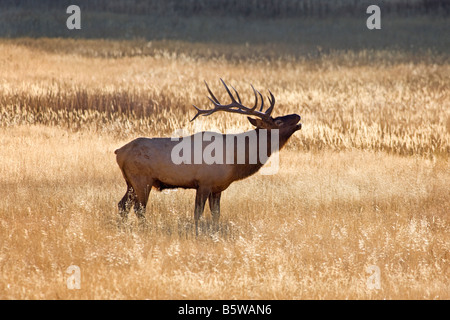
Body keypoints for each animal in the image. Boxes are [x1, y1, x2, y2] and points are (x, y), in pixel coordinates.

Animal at [114, 79, 300, 235]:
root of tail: (119, 152)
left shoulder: (217, 187)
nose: (298, 116)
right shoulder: (204, 182)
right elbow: (198, 213)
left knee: (122, 205)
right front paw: (197, 233)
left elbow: (216, 214)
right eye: (278, 122)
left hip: (130, 182)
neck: (236, 160)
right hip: (142, 179)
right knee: (139, 208)